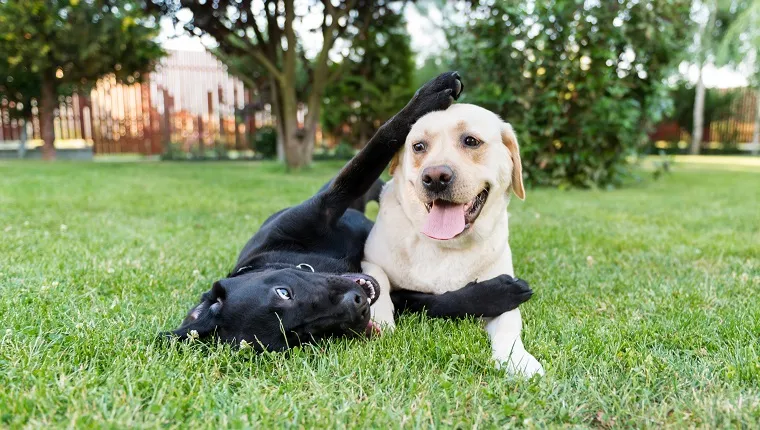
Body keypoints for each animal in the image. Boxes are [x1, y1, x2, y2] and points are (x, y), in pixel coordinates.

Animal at [163, 72, 532, 352]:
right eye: (303, 335)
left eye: (283, 293)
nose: (357, 305)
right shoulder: (390, 289)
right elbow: (434, 301)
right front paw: (497, 293)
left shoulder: (324, 204)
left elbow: (371, 151)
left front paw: (432, 93)